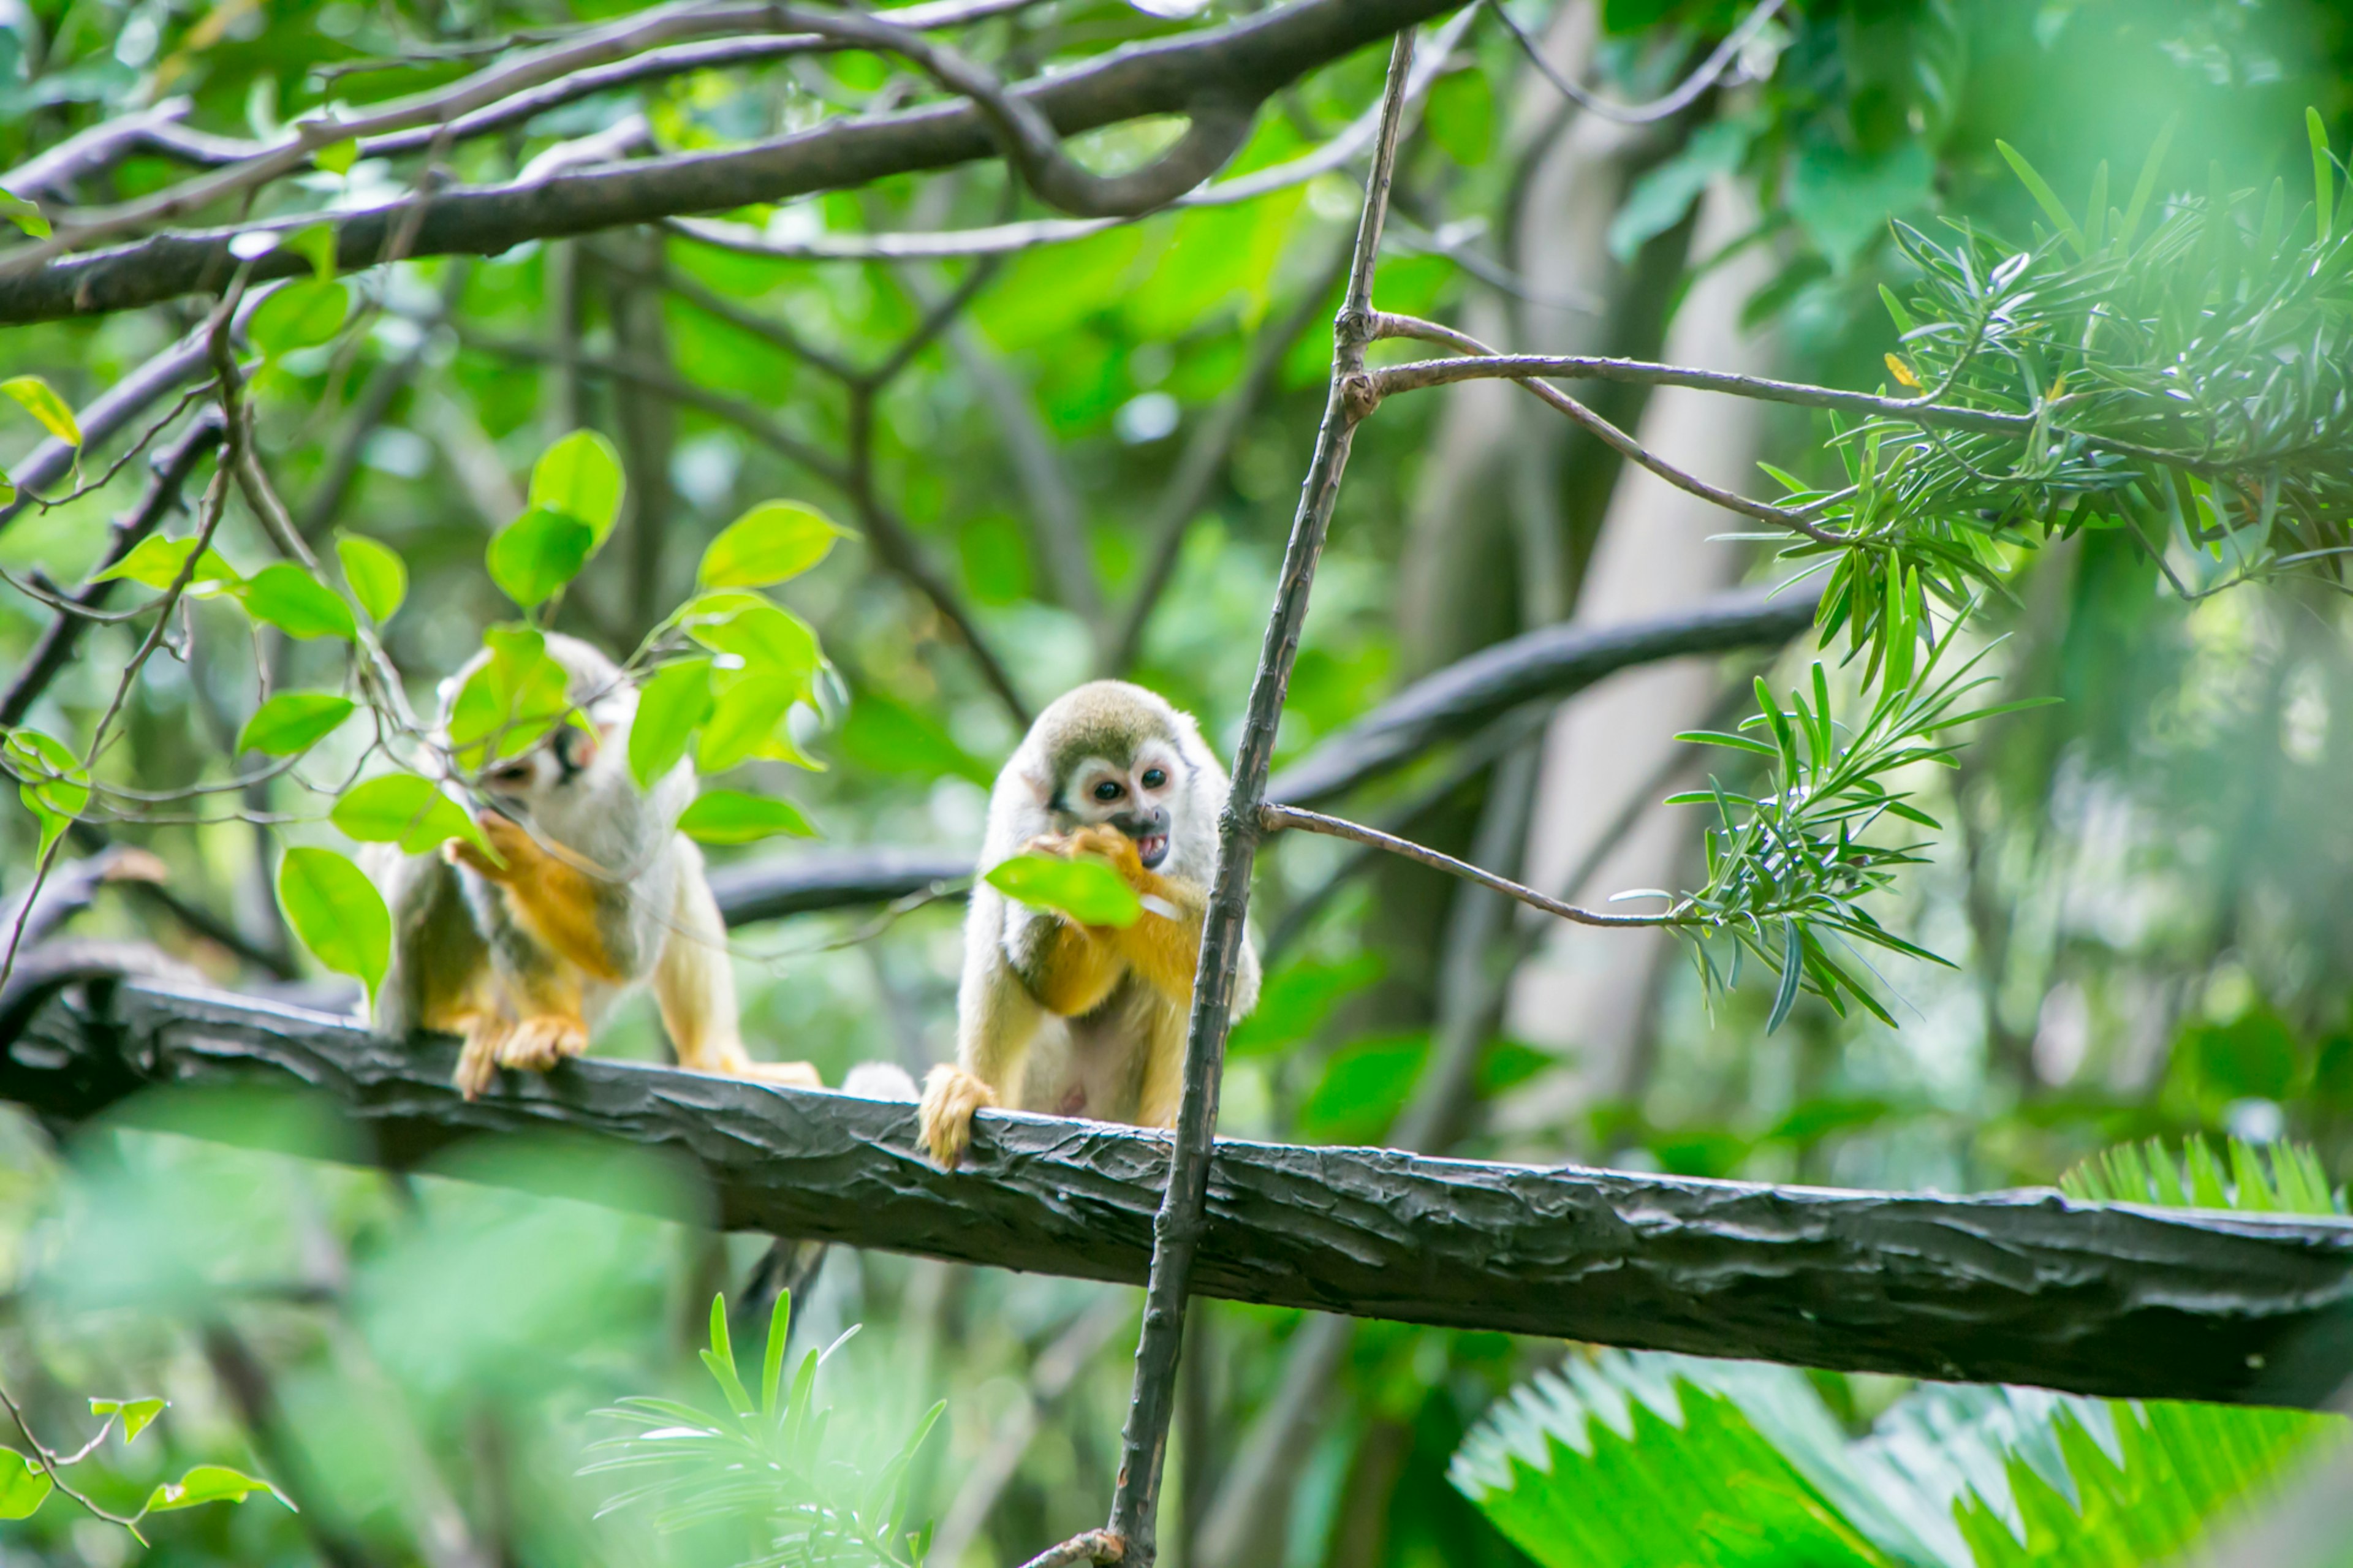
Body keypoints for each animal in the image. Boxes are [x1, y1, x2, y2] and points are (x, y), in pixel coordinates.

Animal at [360, 631, 819, 1092]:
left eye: (511, 774)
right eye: (465, 770)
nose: (479, 803)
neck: (559, 799)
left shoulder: (649, 778)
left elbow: (627, 950)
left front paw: (518, 857)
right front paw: (553, 1020)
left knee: (677, 863)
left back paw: (712, 1060)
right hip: (393, 996)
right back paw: (447, 1013)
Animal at [912, 678, 1261, 1167]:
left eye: (1154, 779)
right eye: (1109, 791)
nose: (1148, 816)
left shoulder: (1210, 805)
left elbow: (1234, 975)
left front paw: (1120, 874)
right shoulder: (1024, 825)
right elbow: (1051, 985)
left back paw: (1166, 1125)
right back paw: (978, 1091)